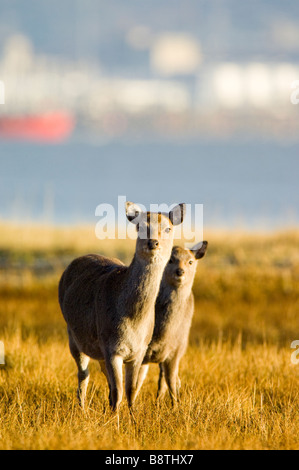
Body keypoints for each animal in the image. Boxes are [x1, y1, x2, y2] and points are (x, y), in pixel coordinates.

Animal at [58, 202, 185, 412]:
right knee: (83, 374)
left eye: (168, 228)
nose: (153, 243)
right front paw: (114, 419)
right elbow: (118, 392)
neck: (133, 321)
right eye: (140, 226)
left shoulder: (140, 351)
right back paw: (82, 409)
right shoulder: (110, 347)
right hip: (73, 336)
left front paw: (133, 416)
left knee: (103, 376)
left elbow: (131, 390)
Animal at [136, 242, 209, 404]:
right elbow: (136, 382)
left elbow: (171, 383)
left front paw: (176, 406)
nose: (180, 271)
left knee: (165, 380)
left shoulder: (176, 351)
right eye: (170, 260)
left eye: (190, 261)